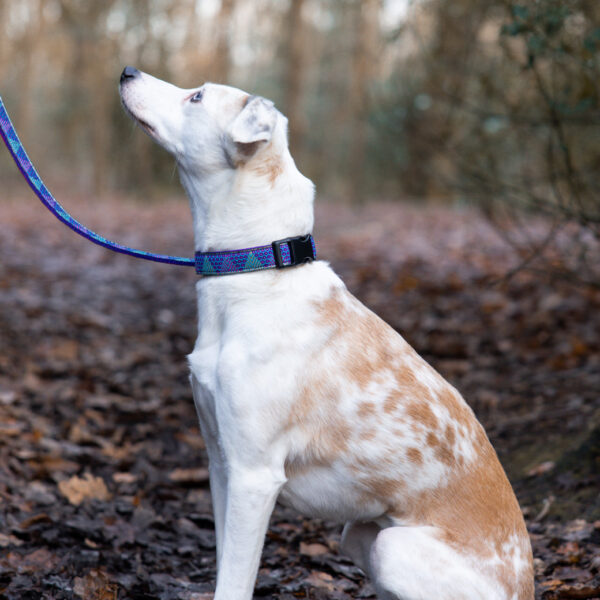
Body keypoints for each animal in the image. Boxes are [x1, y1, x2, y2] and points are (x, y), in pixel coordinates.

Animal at [118, 67, 536, 600]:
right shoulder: (219, 463)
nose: (127, 71)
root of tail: (528, 587)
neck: (257, 269)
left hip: (393, 548)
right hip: (360, 533)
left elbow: (234, 582)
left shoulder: (254, 476)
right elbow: (225, 567)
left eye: (196, 97)